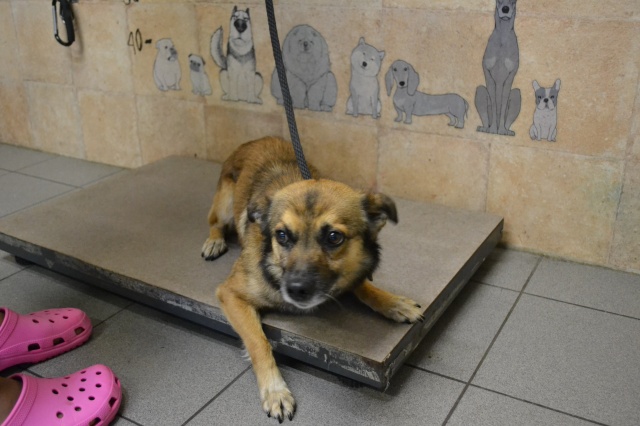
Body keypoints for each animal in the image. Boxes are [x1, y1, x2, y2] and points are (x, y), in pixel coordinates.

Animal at [201, 136, 424, 422]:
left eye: (334, 237)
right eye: (282, 235)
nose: (296, 289)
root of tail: (253, 140)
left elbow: (364, 287)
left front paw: (394, 302)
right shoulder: (230, 294)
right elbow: (259, 343)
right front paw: (275, 391)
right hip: (225, 204)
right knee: (215, 223)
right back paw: (214, 241)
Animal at [475, 0, 521, 136]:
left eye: (514, 1)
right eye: (498, 1)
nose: (505, 9)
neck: (502, 39)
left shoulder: (510, 76)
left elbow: (503, 101)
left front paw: (500, 130)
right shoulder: (488, 75)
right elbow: (495, 102)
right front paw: (493, 129)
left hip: (517, 94)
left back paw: (506, 131)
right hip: (480, 90)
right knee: (486, 118)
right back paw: (486, 128)